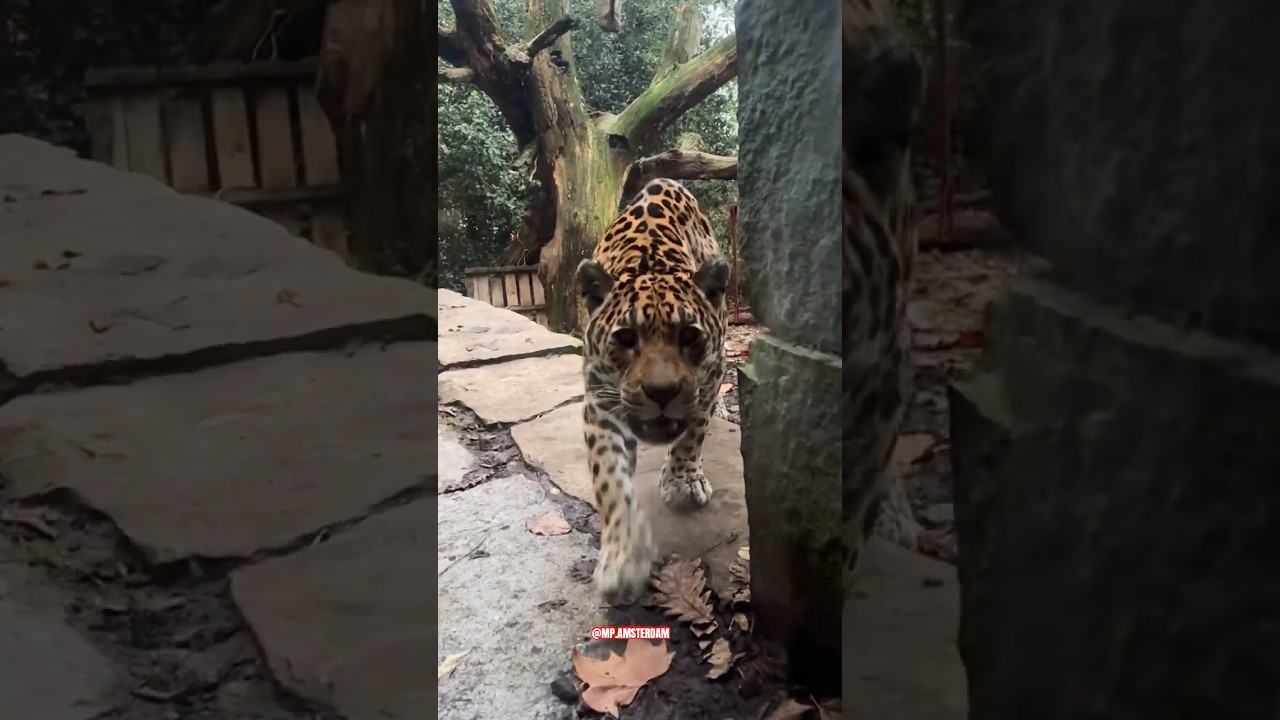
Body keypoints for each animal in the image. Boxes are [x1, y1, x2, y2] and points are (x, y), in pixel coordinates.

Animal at [575, 178, 730, 605]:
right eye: (626, 338)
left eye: (689, 336)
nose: (662, 391)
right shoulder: (600, 401)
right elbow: (610, 480)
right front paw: (622, 561)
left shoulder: (709, 376)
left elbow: (693, 431)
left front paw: (682, 483)